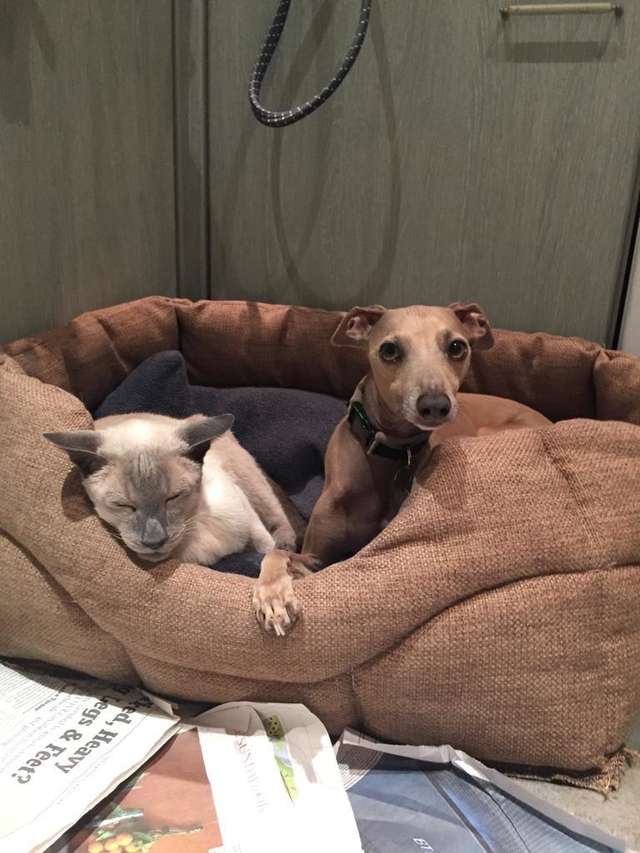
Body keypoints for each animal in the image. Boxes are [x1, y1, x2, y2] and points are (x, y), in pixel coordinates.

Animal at [43, 412, 298, 564]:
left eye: (173, 497)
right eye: (123, 505)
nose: (154, 542)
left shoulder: (241, 505)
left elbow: (265, 546)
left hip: (248, 479)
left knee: (278, 520)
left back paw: (287, 546)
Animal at [254, 302, 552, 632]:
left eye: (457, 347)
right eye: (389, 350)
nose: (435, 405)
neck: (390, 452)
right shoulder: (315, 555)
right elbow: (278, 552)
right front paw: (273, 596)